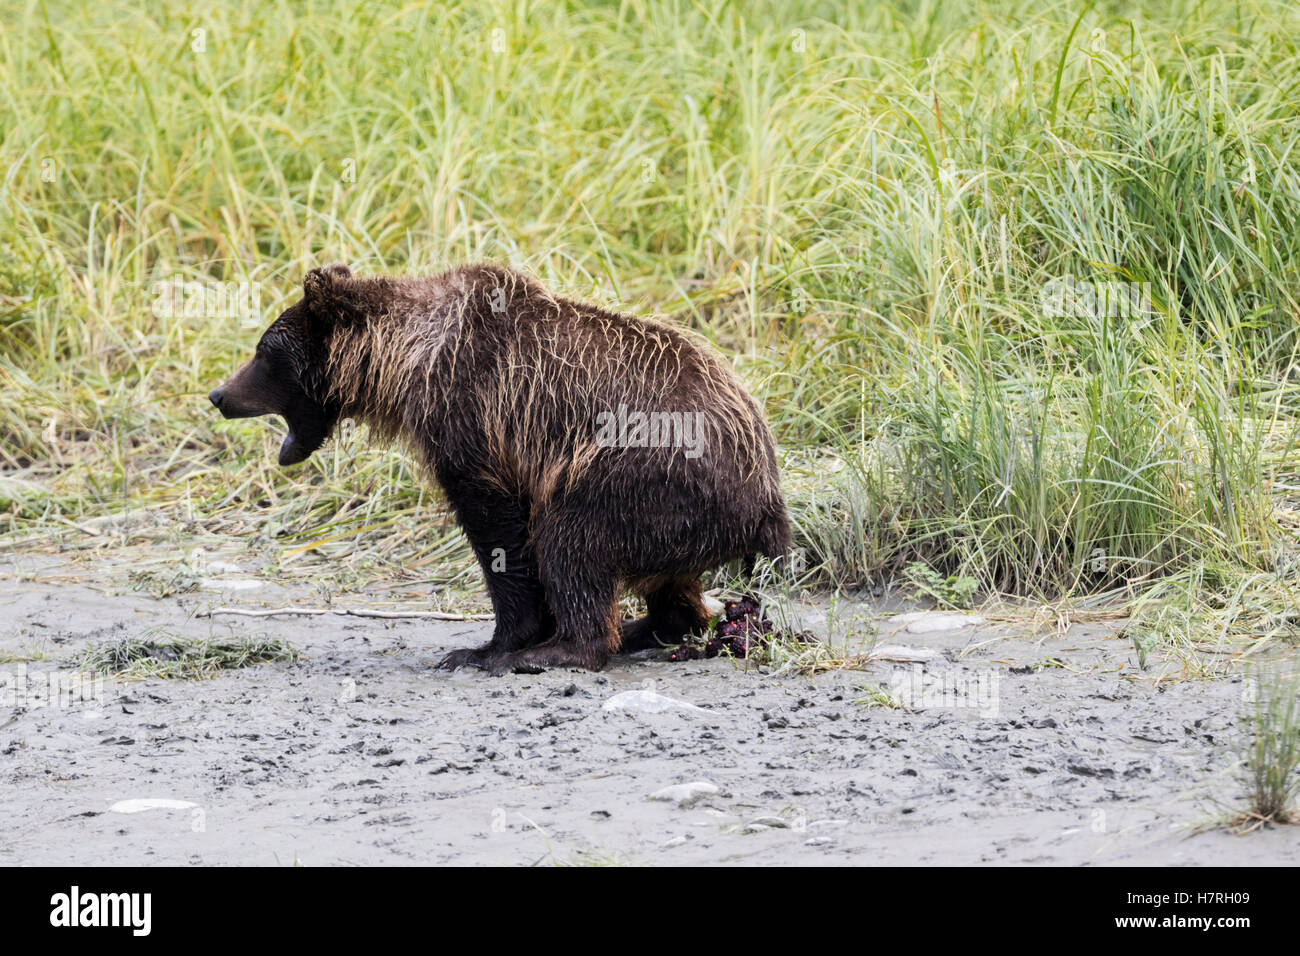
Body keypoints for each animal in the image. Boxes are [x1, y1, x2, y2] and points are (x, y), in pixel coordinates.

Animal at [210, 264, 790, 671]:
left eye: (263, 353)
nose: (219, 394)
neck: (408, 360)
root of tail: (767, 494)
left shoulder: (474, 422)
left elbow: (502, 535)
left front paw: (490, 646)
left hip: (645, 475)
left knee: (573, 536)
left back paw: (563, 649)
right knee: (665, 581)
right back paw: (646, 627)